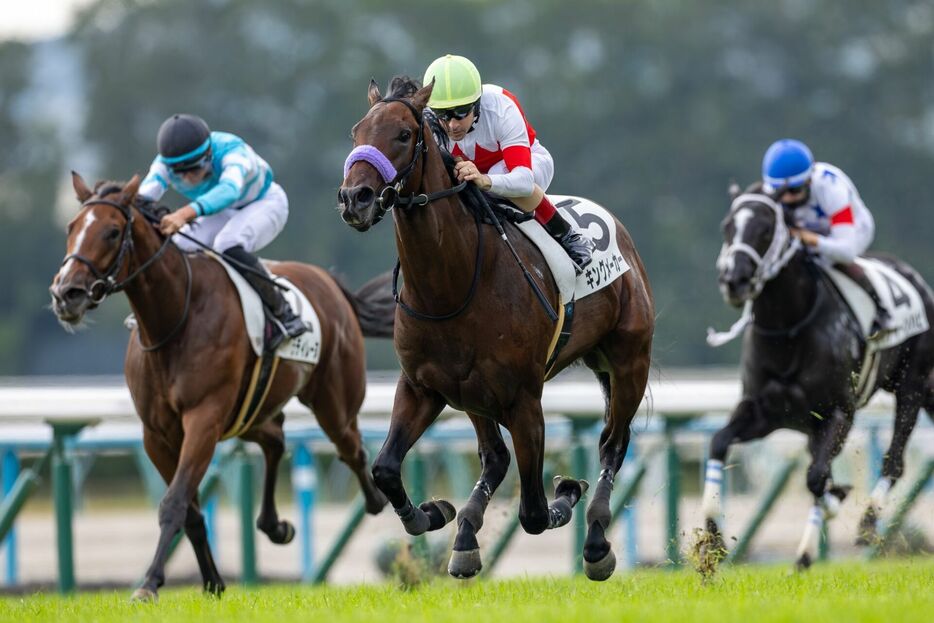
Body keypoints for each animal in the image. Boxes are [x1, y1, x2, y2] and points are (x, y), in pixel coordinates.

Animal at [48, 173, 392, 604]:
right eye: (71, 228)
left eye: (112, 232)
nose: (66, 294)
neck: (173, 319)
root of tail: (329, 283)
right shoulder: (156, 435)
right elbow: (191, 511)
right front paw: (212, 581)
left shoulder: (204, 419)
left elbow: (175, 502)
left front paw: (148, 584)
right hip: (250, 412)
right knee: (276, 439)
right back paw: (275, 525)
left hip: (333, 402)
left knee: (351, 448)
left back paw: (378, 499)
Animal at [338, 77, 660, 580]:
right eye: (357, 132)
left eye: (404, 135)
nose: (356, 199)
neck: (451, 286)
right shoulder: (422, 387)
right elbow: (386, 468)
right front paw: (431, 513)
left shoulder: (524, 399)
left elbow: (534, 512)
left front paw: (567, 491)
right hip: (474, 395)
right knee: (495, 458)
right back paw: (466, 534)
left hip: (628, 361)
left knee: (612, 444)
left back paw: (595, 541)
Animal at [704, 188, 934, 572]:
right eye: (727, 226)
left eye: (765, 229)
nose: (732, 280)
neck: (788, 328)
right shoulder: (763, 413)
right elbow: (719, 443)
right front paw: (711, 536)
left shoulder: (838, 414)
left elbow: (816, 478)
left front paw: (837, 499)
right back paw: (805, 554)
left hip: (911, 387)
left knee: (894, 461)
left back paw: (866, 522)